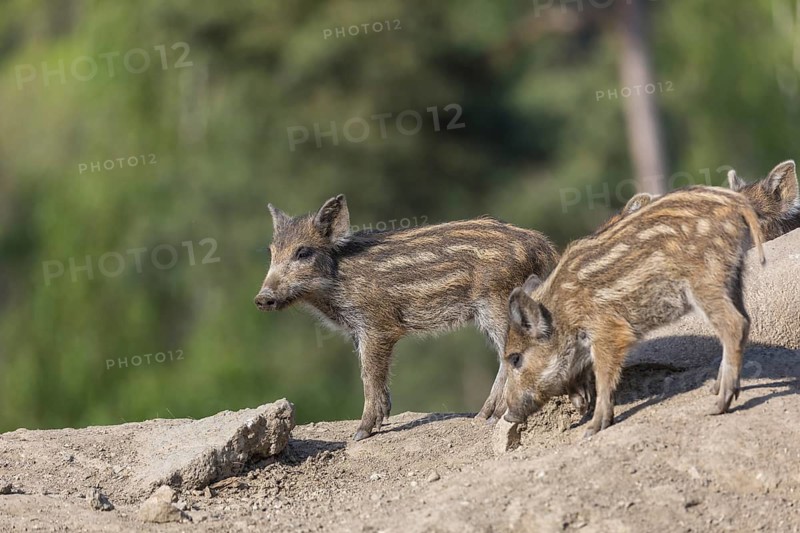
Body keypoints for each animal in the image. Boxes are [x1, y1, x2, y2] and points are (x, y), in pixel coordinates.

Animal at [254, 194, 559, 440]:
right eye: (271, 252)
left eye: (303, 251)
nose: (262, 298)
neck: (336, 281)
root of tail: (544, 246)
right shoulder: (358, 331)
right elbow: (374, 375)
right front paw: (381, 420)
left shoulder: (377, 326)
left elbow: (369, 374)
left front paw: (361, 433)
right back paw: (483, 416)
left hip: (495, 305)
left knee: (510, 354)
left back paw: (491, 417)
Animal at [502, 186, 765, 437]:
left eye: (515, 358)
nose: (509, 416)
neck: (562, 311)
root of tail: (737, 203)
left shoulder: (608, 330)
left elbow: (604, 377)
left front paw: (593, 429)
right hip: (733, 277)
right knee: (744, 319)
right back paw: (715, 389)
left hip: (706, 280)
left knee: (735, 325)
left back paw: (718, 405)